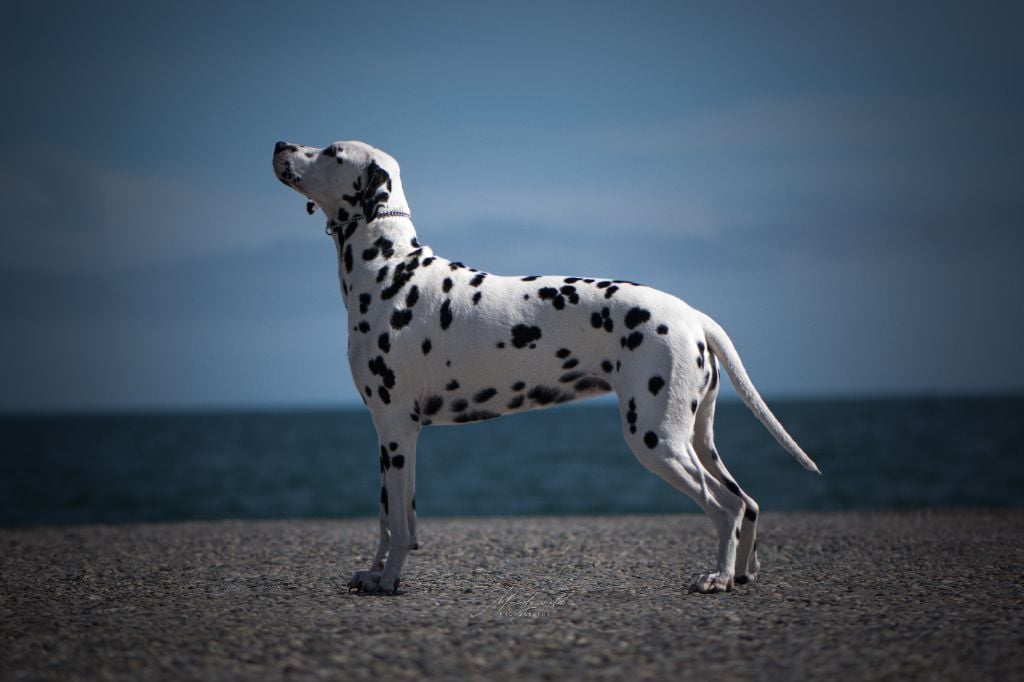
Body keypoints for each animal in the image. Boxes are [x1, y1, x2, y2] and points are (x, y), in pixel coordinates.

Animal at [274, 139, 823, 593]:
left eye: (331, 151)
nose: (281, 144)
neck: (390, 268)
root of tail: (693, 315)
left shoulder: (398, 433)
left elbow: (401, 524)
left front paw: (388, 580)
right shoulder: (388, 437)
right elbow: (387, 520)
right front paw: (373, 574)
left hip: (657, 440)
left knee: (726, 507)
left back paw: (719, 577)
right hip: (696, 440)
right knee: (747, 502)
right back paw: (743, 573)